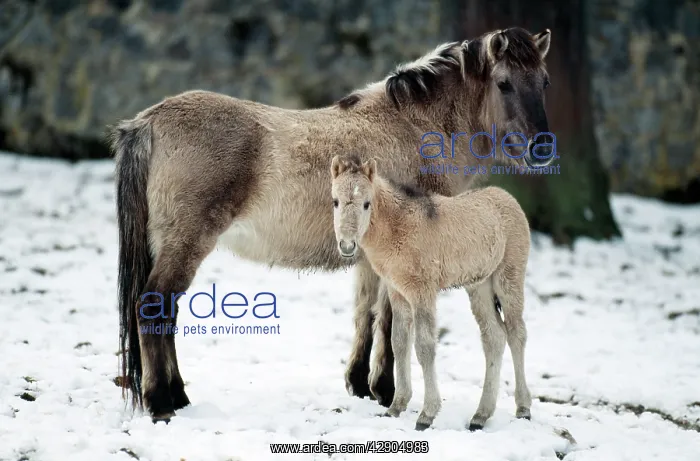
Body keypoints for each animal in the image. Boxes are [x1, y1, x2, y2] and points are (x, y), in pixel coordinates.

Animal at [330, 154, 532, 431]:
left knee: (516, 333)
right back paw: (480, 416)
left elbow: (424, 346)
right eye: (335, 202)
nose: (347, 246)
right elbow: (399, 342)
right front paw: (396, 406)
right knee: (493, 336)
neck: (397, 226)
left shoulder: (422, 291)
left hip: (508, 277)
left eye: (366, 204)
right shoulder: (397, 291)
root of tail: (509, 199)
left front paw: (426, 414)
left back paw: (523, 408)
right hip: (479, 285)